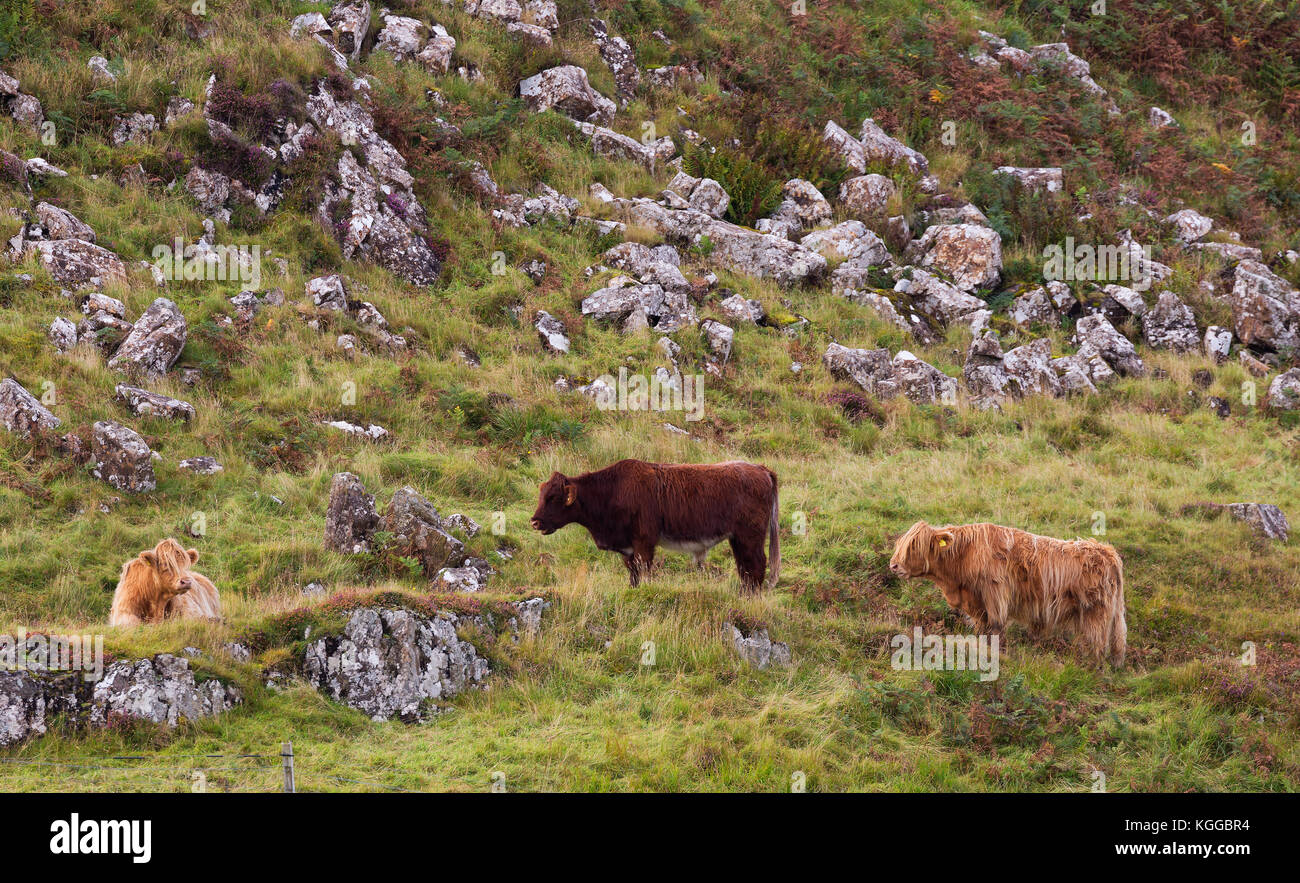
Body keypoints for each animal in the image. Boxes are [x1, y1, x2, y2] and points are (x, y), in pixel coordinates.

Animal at [531, 459, 780, 592]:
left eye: (553, 497)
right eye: (541, 495)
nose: (535, 521)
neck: (613, 491)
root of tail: (760, 469)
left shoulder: (644, 543)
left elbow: (644, 571)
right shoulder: (628, 549)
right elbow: (633, 575)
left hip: (750, 537)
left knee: (757, 566)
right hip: (737, 539)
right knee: (745, 569)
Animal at [889, 521, 1126, 667]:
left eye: (914, 546)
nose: (893, 565)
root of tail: (1107, 552)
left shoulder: (995, 592)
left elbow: (996, 626)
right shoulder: (977, 603)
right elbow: (981, 626)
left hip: (1096, 613)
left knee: (1097, 645)